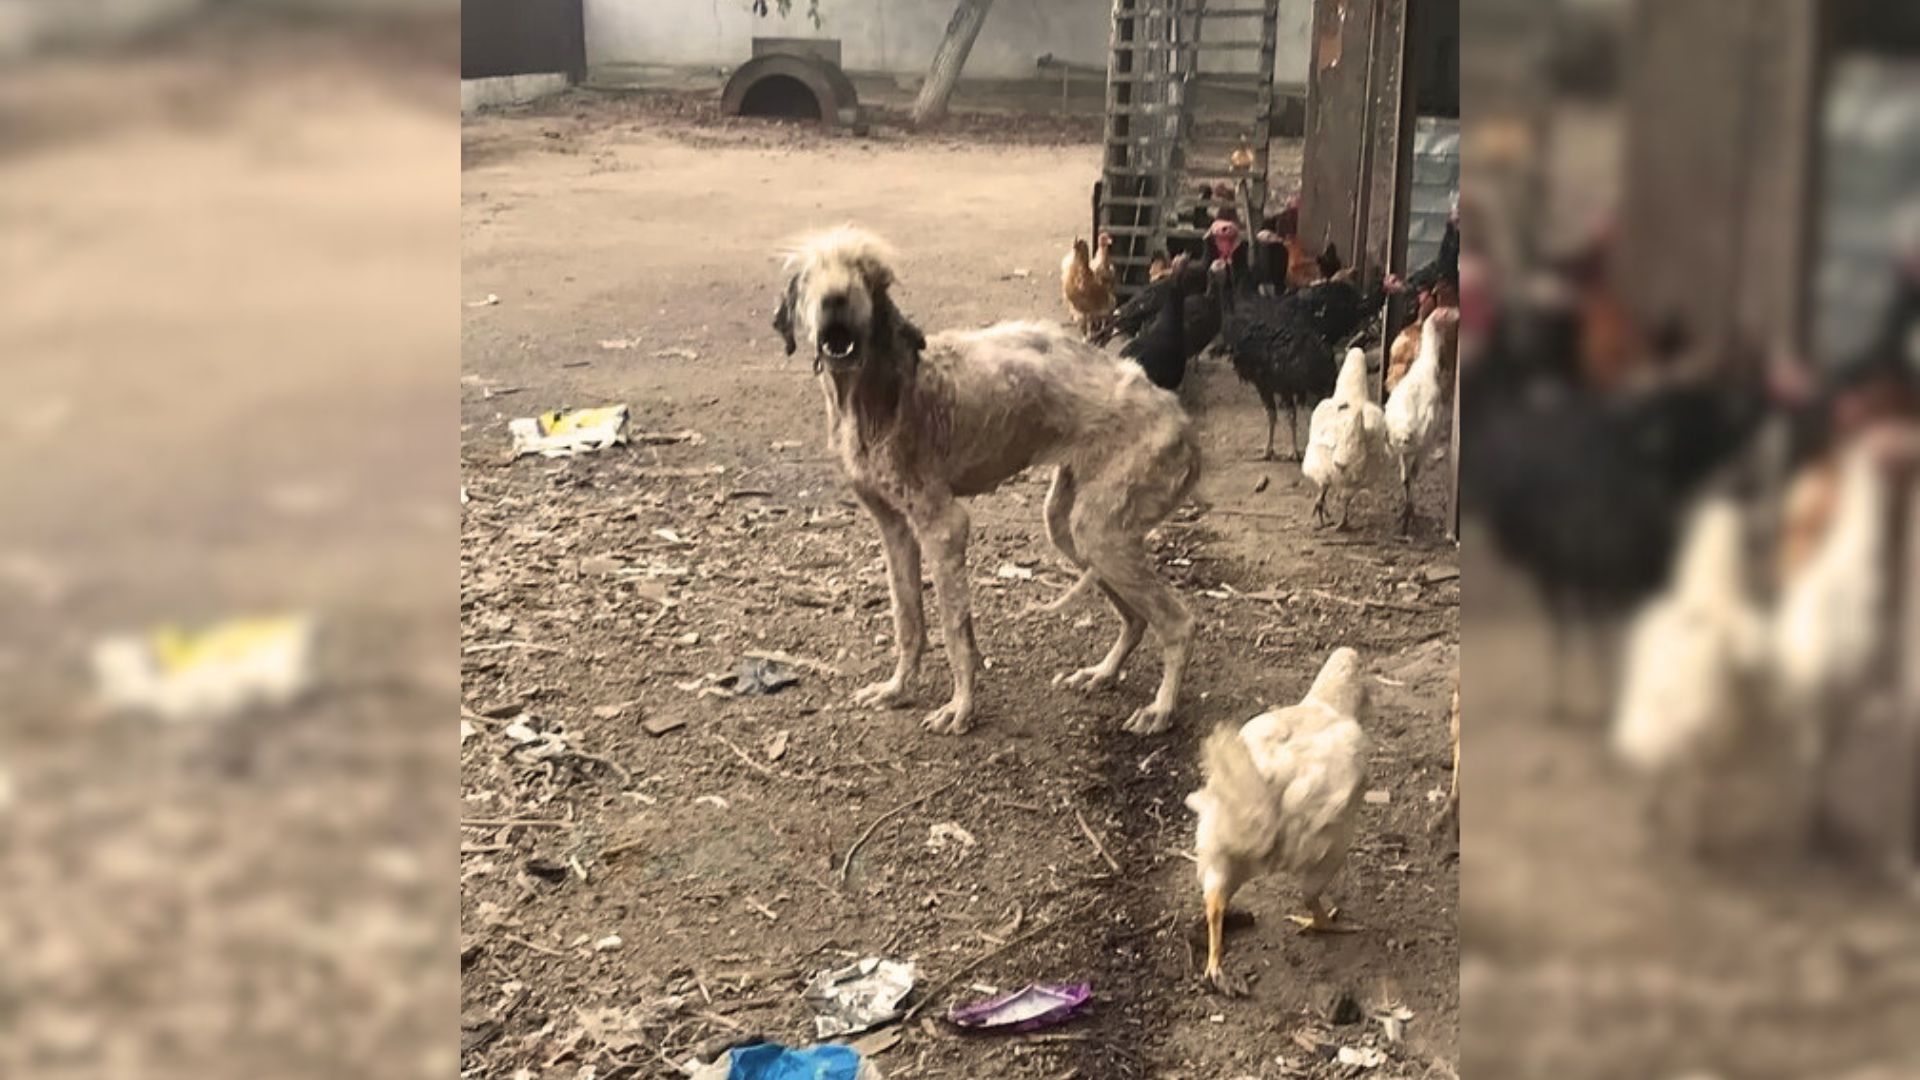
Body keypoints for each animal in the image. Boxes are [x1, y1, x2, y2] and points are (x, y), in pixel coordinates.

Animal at [768, 225, 1198, 730]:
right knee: (1135, 617)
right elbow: (907, 620)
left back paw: (1161, 709)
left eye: (867, 274)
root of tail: (1181, 419)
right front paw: (897, 689)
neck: (879, 391)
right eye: (808, 276)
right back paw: (1103, 673)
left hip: (1103, 532)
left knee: (1178, 622)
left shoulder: (943, 528)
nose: (835, 299)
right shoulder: (894, 530)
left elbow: (956, 631)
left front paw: (961, 707)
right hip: (1072, 526)